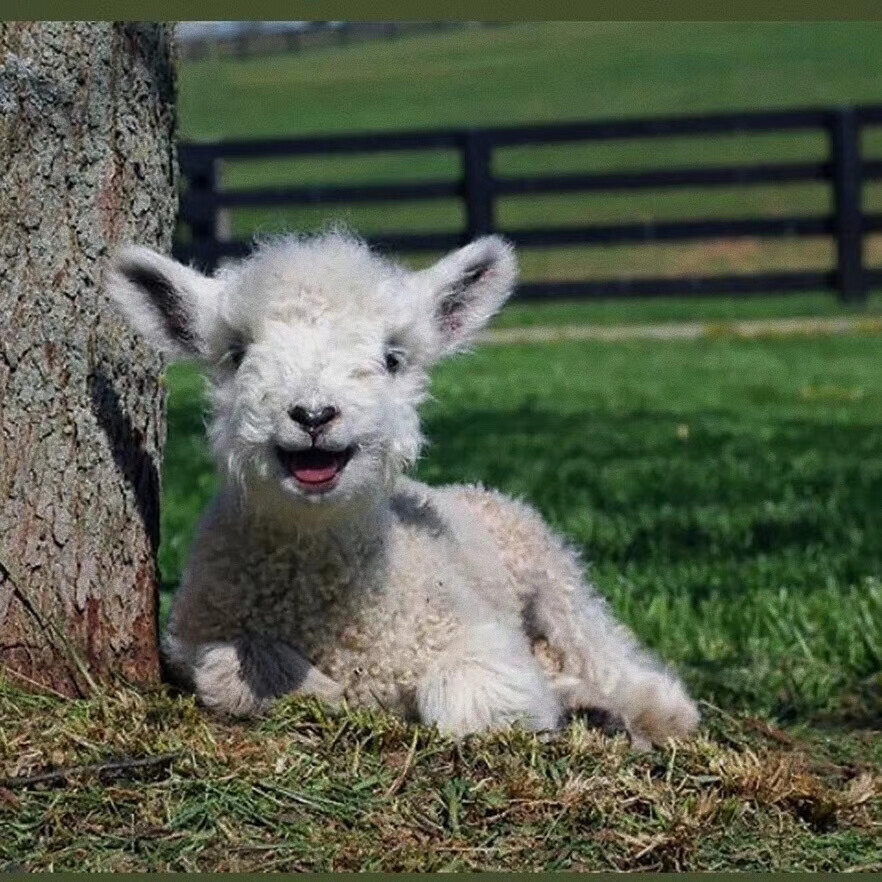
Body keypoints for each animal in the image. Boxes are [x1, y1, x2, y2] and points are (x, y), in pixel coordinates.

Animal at [106, 229, 696, 744]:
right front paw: (319, 691)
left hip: (551, 576)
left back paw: (648, 709)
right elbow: (236, 669)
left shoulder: (474, 633)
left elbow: (478, 695)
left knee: (606, 653)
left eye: (392, 358)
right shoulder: (194, 636)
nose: (314, 415)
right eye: (236, 355)